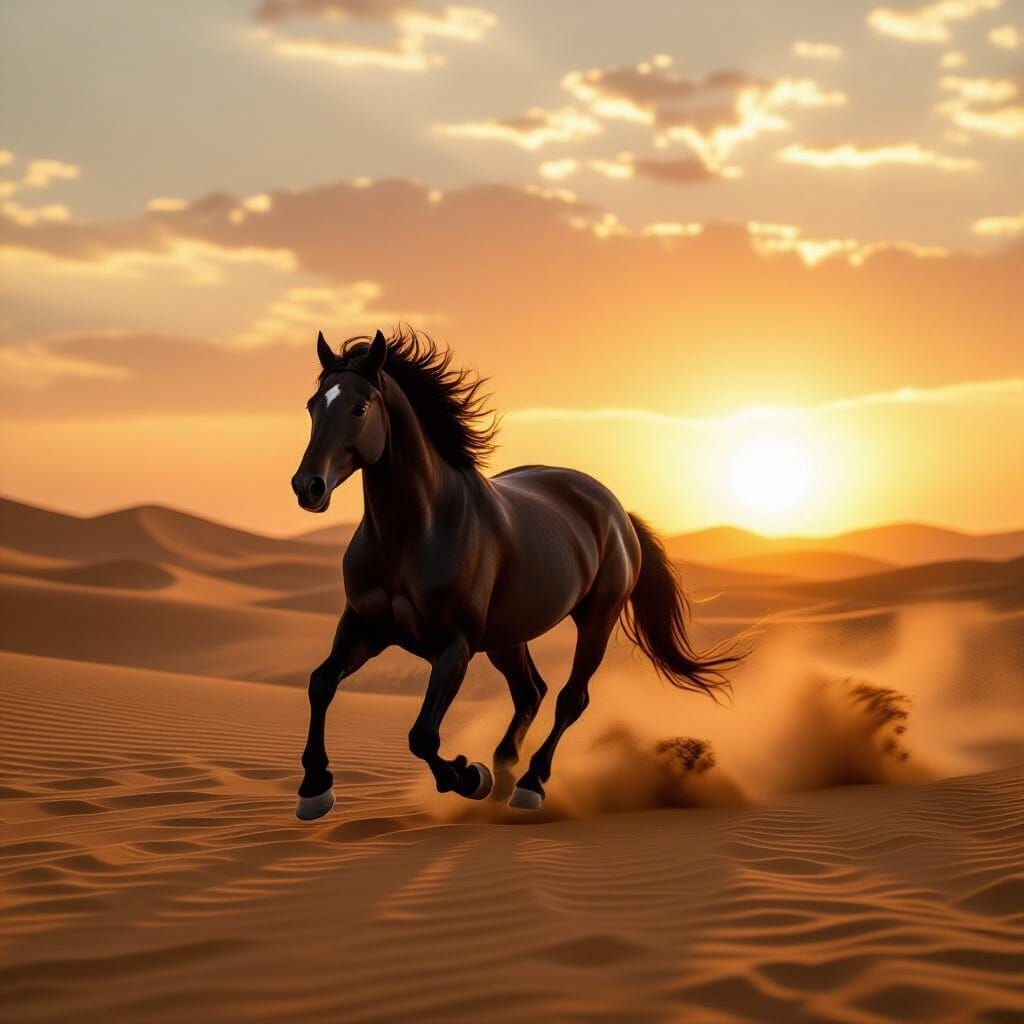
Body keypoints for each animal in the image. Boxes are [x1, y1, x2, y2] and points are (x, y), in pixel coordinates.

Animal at [290, 327, 742, 819]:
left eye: (359, 407)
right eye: (313, 405)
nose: (307, 487)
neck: (413, 534)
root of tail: (614, 507)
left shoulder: (455, 647)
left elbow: (422, 735)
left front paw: (469, 777)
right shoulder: (364, 627)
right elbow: (320, 684)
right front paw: (314, 788)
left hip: (595, 620)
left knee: (569, 699)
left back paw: (528, 783)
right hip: (507, 638)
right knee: (531, 693)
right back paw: (505, 770)